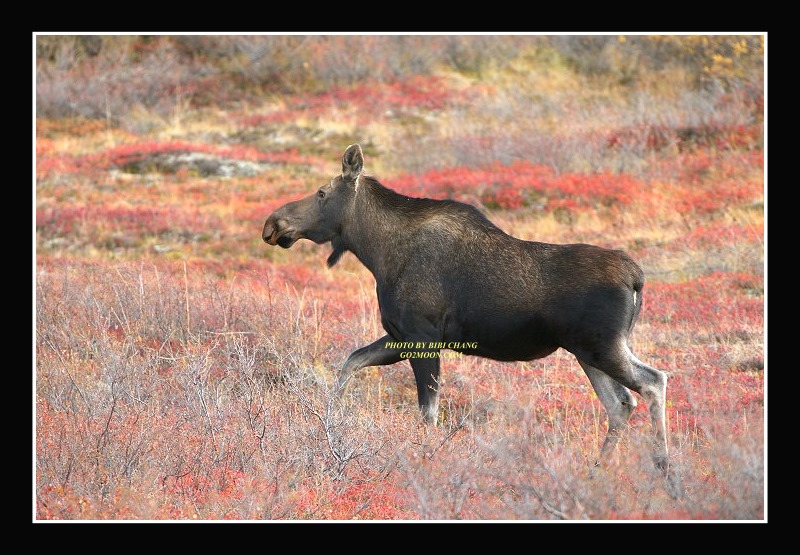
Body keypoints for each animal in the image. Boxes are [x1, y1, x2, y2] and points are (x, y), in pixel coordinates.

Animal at [266, 146, 672, 480]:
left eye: (322, 193)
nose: (273, 223)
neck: (376, 253)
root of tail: (636, 276)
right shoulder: (401, 335)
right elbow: (350, 363)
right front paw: (330, 425)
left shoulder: (422, 336)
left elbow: (428, 411)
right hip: (589, 351)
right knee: (621, 403)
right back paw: (597, 471)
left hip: (602, 347)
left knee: (653, 381)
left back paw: (664, 467)